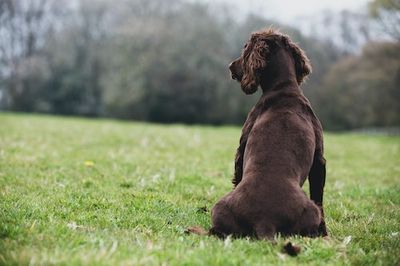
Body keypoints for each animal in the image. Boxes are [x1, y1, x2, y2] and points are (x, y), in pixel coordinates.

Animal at [208, 29, 326, 239]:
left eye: (245, 47)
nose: (230, 66)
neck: (284, 88)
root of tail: (265, 221)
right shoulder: (319, 158)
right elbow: (319, 195)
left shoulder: (241, 147)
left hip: (219, 208)